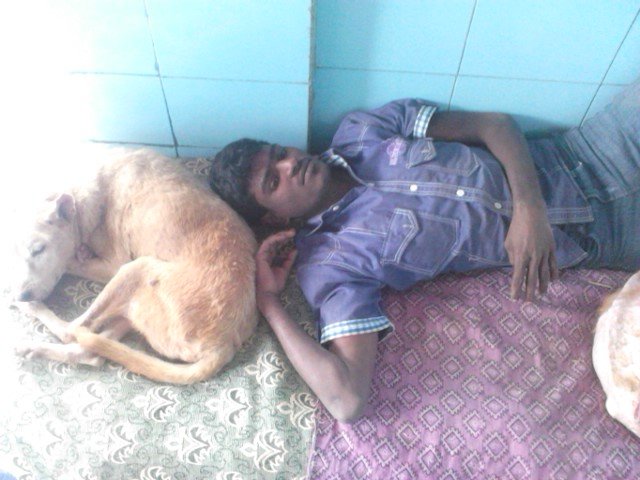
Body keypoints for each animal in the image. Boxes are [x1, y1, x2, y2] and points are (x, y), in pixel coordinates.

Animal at [11, 148, 258, 384]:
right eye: (15, 253)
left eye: (39, 250)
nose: (22, 294)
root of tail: (223, 345)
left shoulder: (113, 264)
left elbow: (70, 264)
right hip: (134, 309)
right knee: (90, 350)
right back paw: (32, 341)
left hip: (136, 268)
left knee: (71, 331)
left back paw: (31, 312)